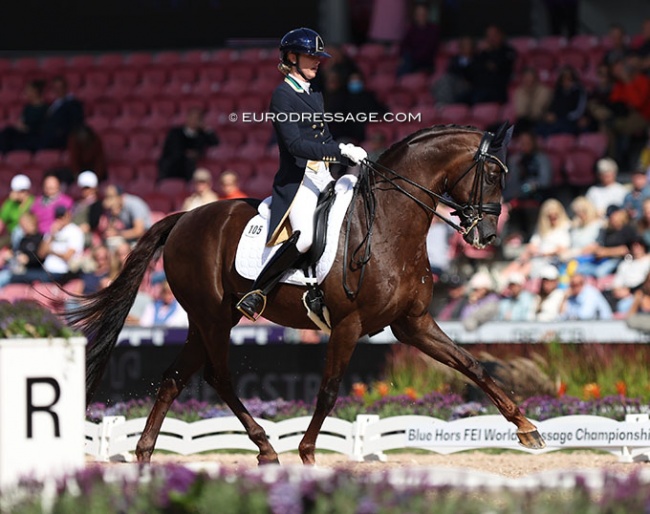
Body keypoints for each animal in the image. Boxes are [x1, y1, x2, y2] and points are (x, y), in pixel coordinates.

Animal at [73, 125, 544, 464]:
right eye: (494, 173)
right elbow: (330, 390)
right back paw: (265, 447)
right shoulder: (349, 324)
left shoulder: (412, 324)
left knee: (175, 377)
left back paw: (147, 452)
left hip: (209, 319)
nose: (487, 235)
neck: (391, 225)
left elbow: (472, 364)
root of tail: (184, 217)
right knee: (217, 376)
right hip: (212, 317)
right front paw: (307, 452)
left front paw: (527, 428)